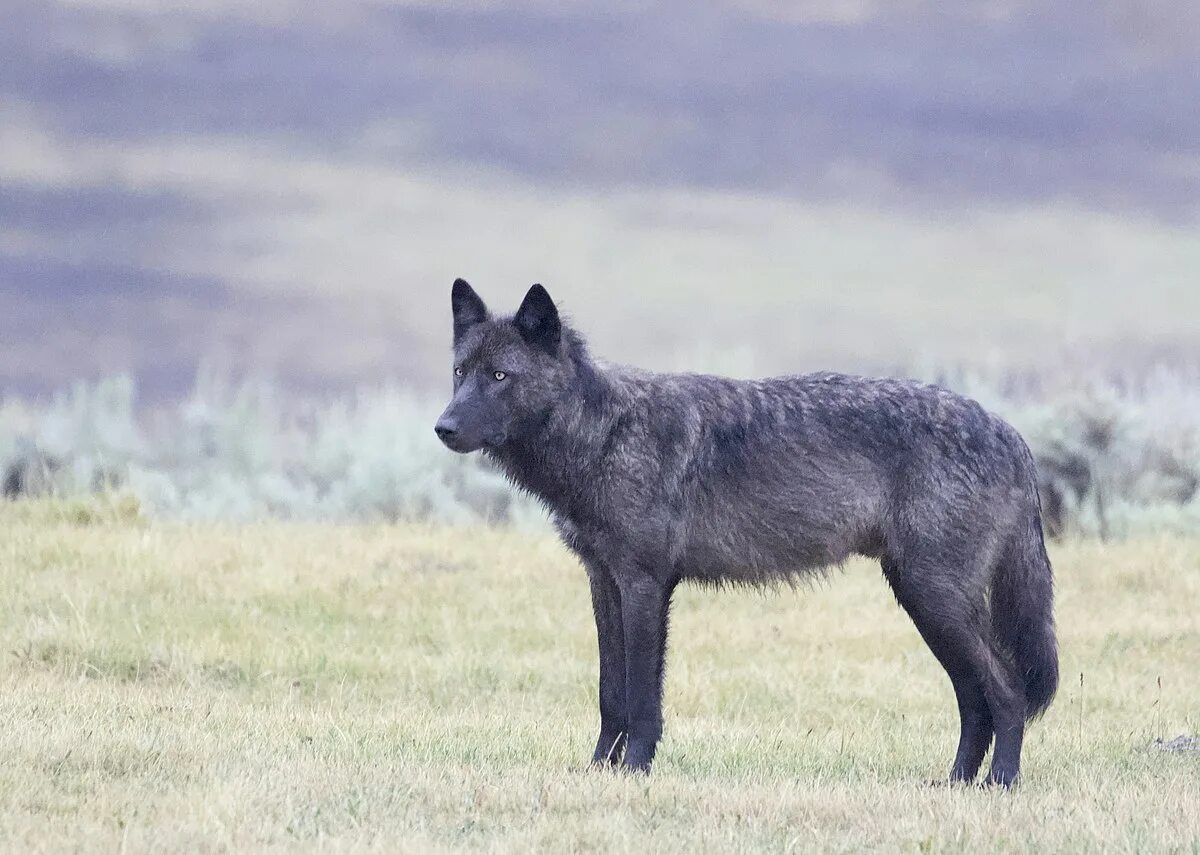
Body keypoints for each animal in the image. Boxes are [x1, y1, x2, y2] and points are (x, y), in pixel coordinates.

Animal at [436, 280, 1056, 787]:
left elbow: (641, 699)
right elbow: (611, 694)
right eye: (461, 373)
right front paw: (598, 772)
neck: (605, 433)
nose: (443, 427)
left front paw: (634, 772)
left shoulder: (645, 586)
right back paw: (954, 785)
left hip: (936, 602)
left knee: (1007, 693)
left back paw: (1000, 786)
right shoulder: (603, 582)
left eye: (500, 376)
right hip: (925, 603)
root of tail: (1013, 435)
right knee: (975, 700)